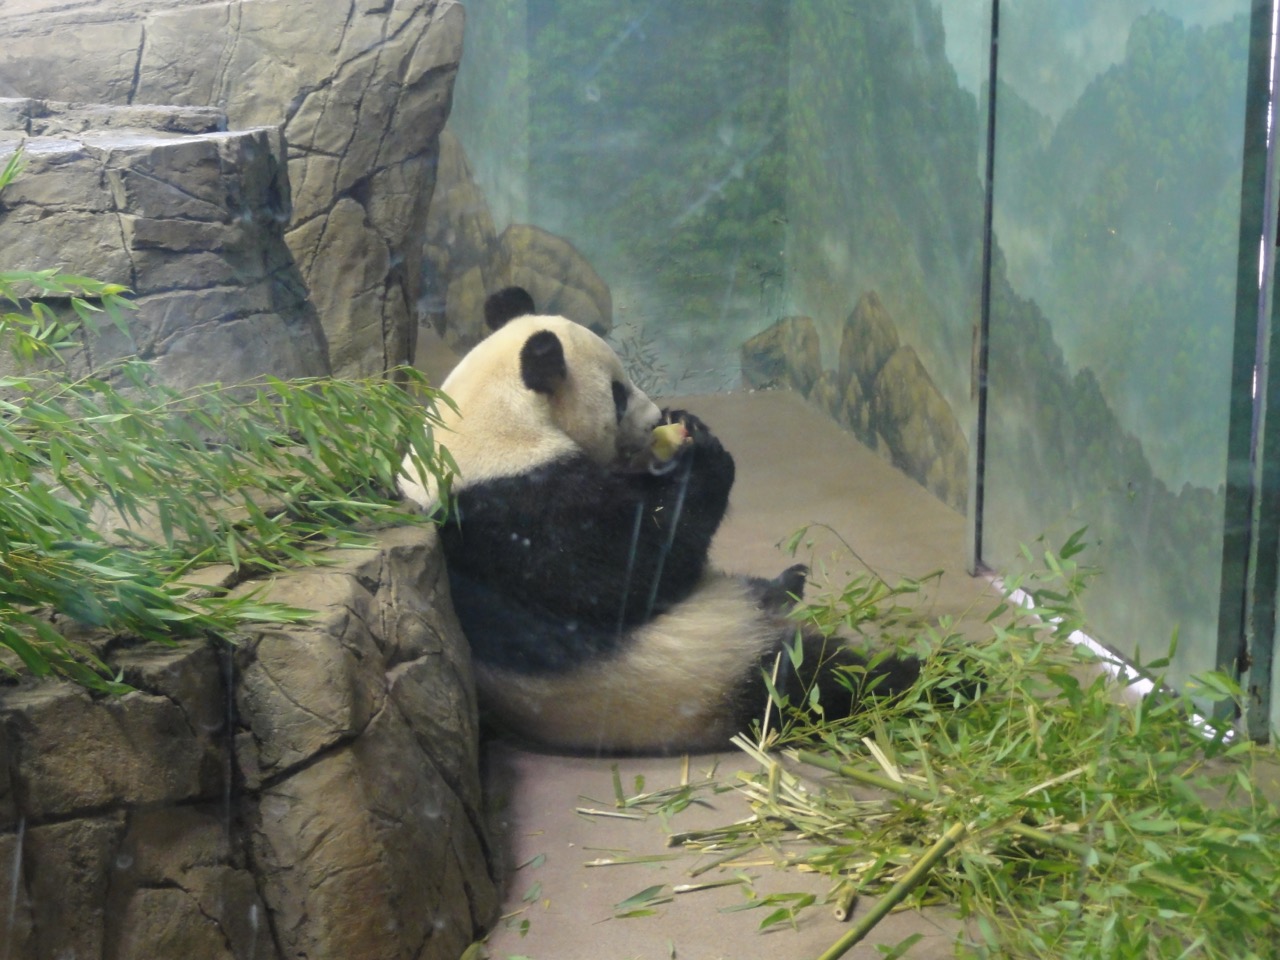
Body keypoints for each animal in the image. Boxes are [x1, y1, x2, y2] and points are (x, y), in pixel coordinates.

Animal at [400, 287, 921, 754]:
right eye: (617, 395)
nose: (656, 419)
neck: (491, 423)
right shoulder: (517, 518)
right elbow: (631, 570)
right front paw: (703, 454)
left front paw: (686, 423)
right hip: (714, 673)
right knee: (824, 681)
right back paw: (921, 677)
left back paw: (787, 583)